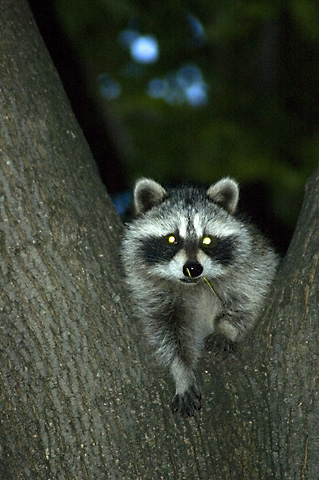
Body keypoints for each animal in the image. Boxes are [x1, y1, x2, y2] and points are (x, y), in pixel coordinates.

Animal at [121, 178, 278, 414]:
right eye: (172, 239)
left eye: (207, 240)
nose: (193, 268)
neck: (193, 285)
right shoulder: (149, 291)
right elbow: (166, 332)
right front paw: (181, 370)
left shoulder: (255, 261)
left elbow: (249, 297)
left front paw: (227, 328)